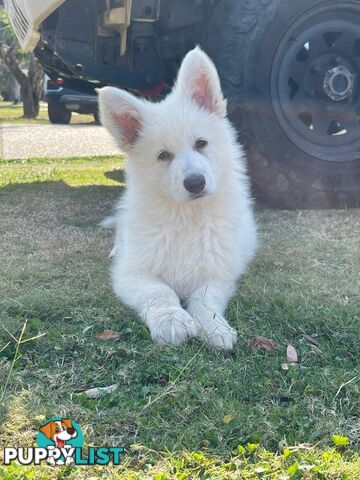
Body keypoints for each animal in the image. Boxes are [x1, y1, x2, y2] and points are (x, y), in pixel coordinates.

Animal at [98, 47, 256, 350]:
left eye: (201, 143)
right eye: (163, 155)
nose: (195, 183)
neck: (187, 216)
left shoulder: (217, 274)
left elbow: (203, 299)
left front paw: (214, 327)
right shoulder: (133, 273)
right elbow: (159, 291)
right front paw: (171, 320)